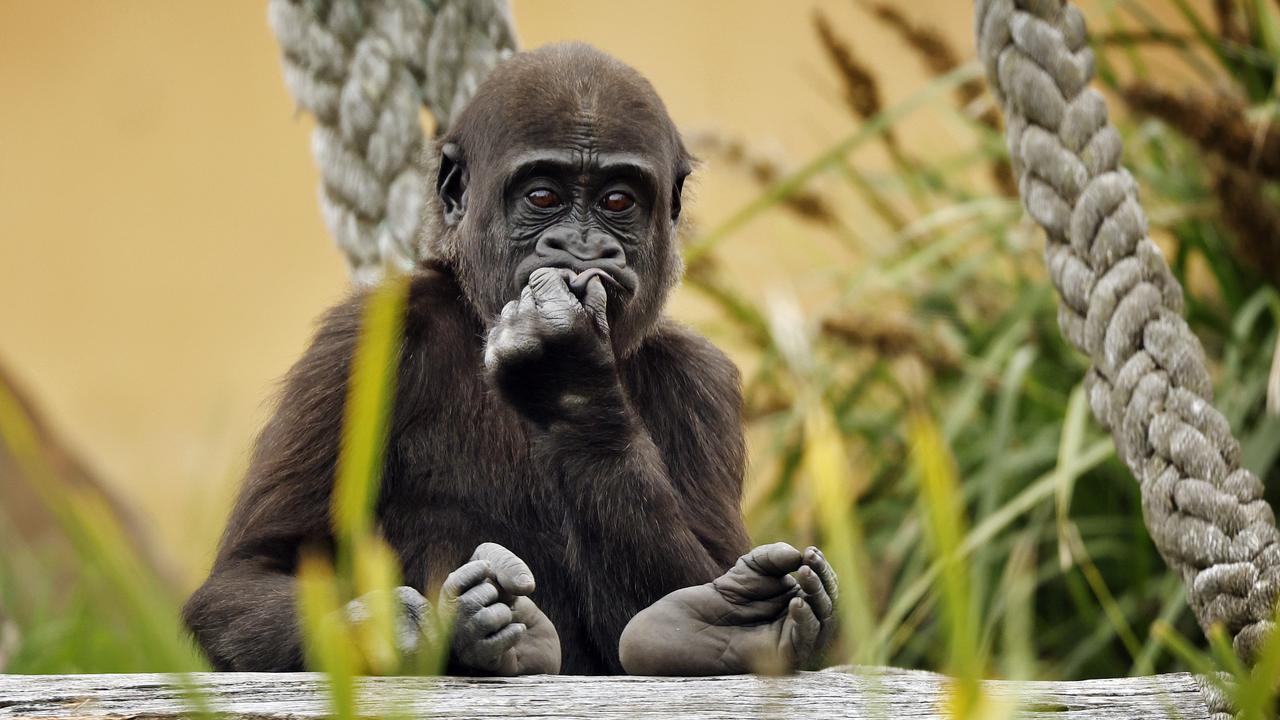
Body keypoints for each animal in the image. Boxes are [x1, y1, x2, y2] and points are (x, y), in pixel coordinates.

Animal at [183, 40, 839, 671]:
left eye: (618, 202)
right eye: (543, 196)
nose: (582, 246)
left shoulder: (702, 383)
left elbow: (693, 572)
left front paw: (570, 382)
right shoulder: (359, 343)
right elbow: (252, 571)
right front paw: (396, 629)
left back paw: (727, 624)